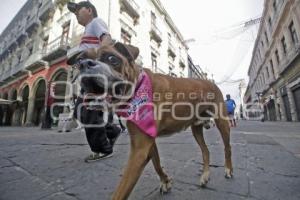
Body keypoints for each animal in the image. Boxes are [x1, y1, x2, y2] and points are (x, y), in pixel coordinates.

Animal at [77, 41, 232, 198]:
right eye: (80, 59)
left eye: (112, 59)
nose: (84, 64)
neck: (137, 86)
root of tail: (209, 82)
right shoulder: (146, 141)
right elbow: (156, 163)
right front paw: (166, 181)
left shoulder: (139, 150)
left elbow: (121, 191)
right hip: (196, 129)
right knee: (205, 151)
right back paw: (205, 175)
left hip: (222, 123)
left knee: (227, 147)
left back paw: (228, 169)